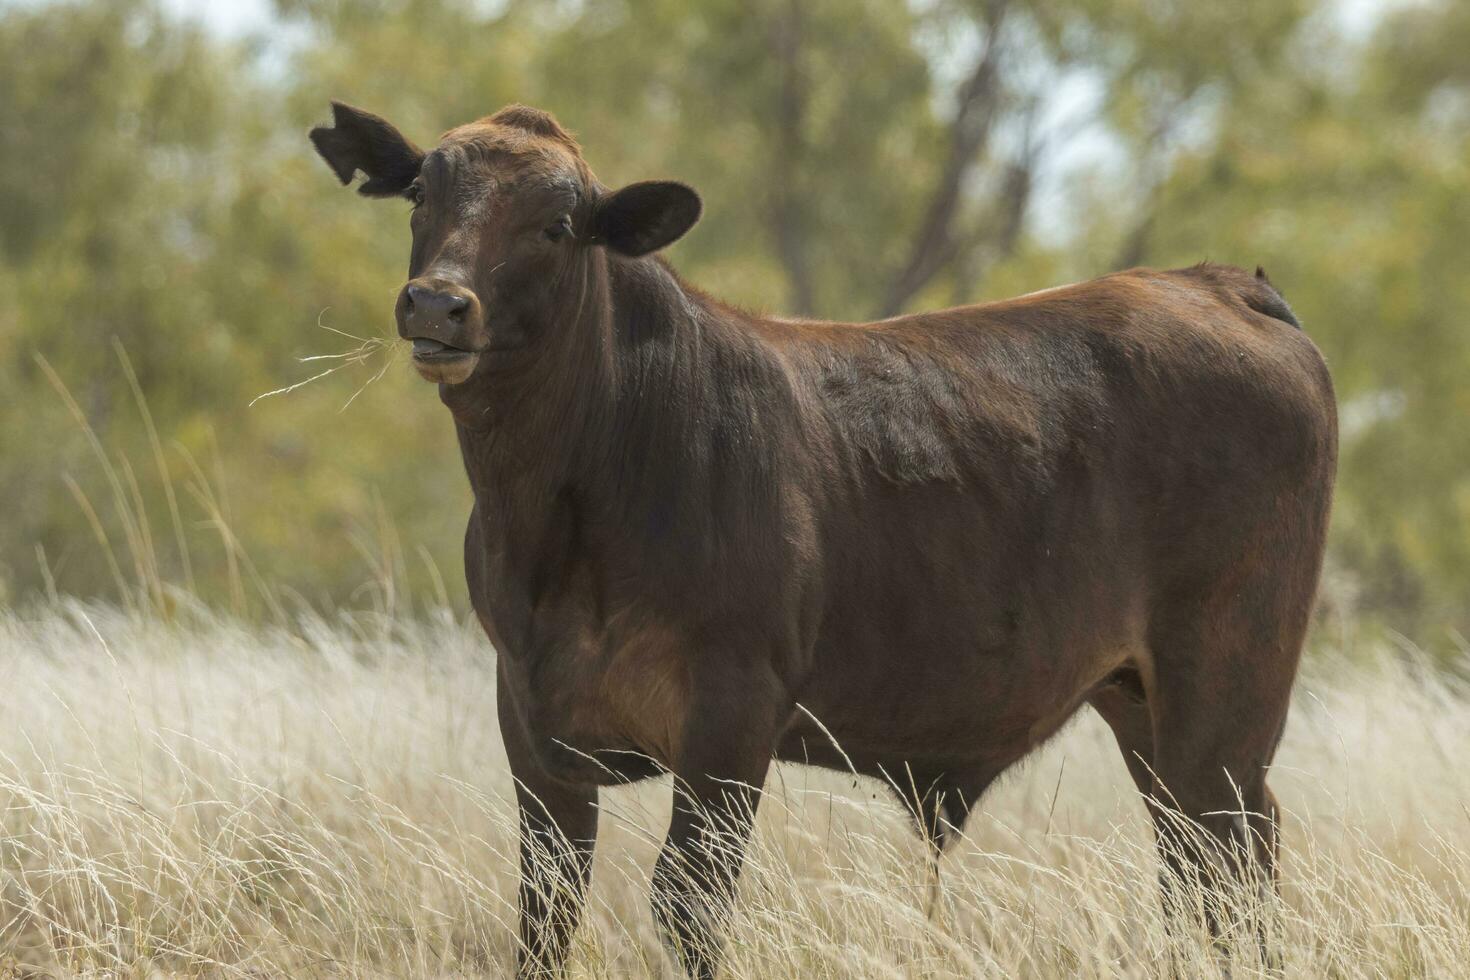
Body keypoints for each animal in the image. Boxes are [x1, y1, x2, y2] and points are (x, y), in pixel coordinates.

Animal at [307, 97, 1334, 975]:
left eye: (557, 224)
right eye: (421, 195)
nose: (437, 305)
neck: (560, 516)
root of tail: (1214, 283)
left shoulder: (732, 712)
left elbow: (688, 902)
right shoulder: (530, 715)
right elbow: (545, 912)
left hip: (1227, 688)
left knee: (1228, 854)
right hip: (1139, 698)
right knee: (1200, 860)